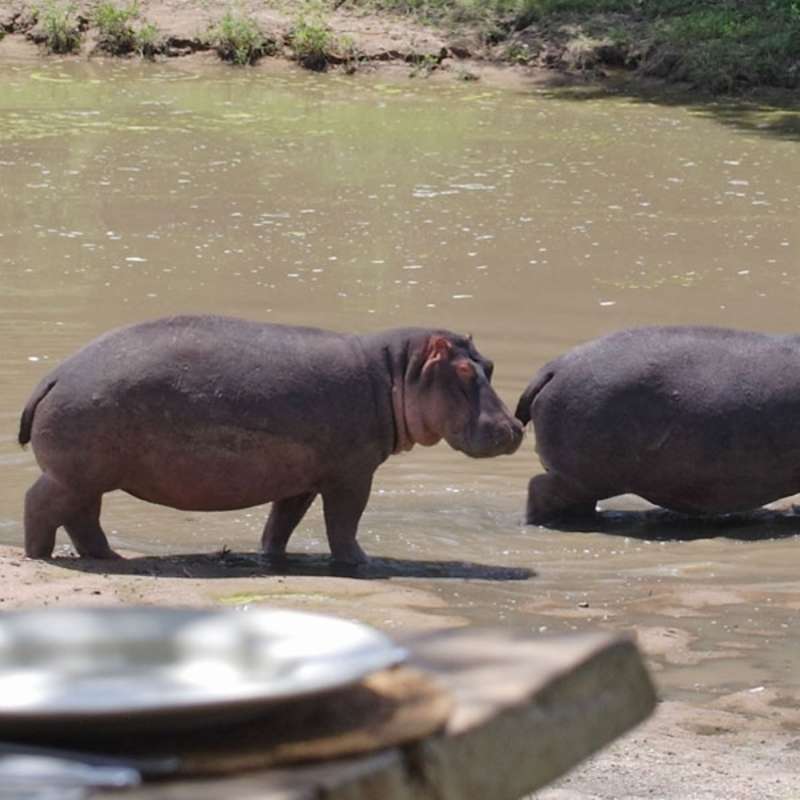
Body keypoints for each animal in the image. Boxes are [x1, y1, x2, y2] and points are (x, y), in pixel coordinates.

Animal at [19, 315, 523, 563]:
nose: (515, 428)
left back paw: (108, 557)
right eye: (464, 372)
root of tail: (53, 376)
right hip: (73, 474)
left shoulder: (303, 477)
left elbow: (281, 523)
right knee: (39, 503)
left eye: (490, 364)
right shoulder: (352, 475)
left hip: (88, 477)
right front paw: (364, 563)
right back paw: (39, 556)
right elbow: (344, 524)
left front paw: (271, 555)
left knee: (83, 518)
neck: (397, 372)